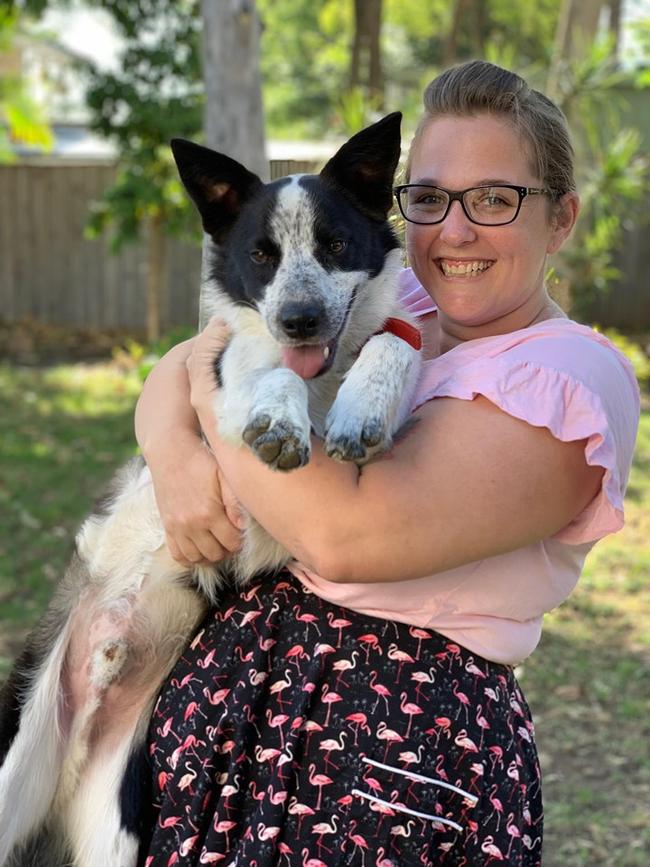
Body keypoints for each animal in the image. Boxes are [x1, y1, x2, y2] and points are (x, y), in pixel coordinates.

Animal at [0, 113, 420, 867]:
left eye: (336, 244)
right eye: (260, 256)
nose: (299, 320)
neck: (321, 378)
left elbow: (395, 339)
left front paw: (362, 407)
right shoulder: (224, 385)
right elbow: (265, 373)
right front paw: (281, 417)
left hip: (116, 830)